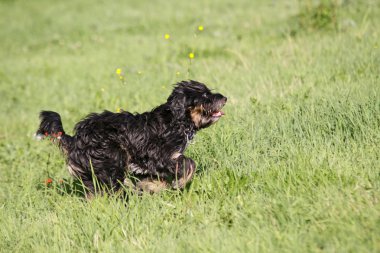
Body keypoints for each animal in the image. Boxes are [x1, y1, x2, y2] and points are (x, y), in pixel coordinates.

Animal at [36, 80, 226, 196]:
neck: (176, 120)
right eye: (205, 95)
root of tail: (75, 139)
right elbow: (189, 163)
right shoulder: (158, 156)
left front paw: (151, 187)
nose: (224, 98)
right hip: (110, 158)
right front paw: (179, 184)